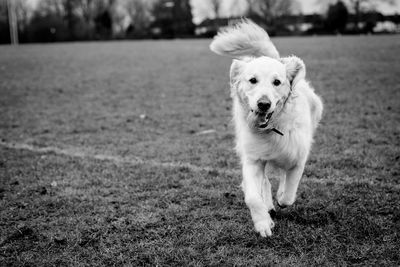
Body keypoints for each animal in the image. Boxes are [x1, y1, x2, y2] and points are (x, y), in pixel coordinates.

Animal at [209, 19, 322, 238]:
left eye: (277, 82)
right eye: (252, 80)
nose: (263, 104)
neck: (273, 127)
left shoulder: (298, 159)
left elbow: (288, 195)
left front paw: (281, 197)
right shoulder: (253, 160)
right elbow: (253, 197)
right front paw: (263, 223)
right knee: (265, 183)